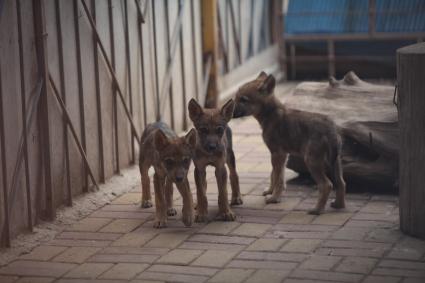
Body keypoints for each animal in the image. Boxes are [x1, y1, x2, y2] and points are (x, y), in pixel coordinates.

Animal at [234, 72, 346, 214]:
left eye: (243, 99)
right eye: (236, 97)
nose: (229, 111)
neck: (271, 115)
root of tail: (331, 131)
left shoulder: (277, 154)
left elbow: (276, 177)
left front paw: (273, 198)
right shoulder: (282, 155)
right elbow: (276, 176)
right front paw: (271, 192)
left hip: (312, 162)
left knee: (326, 185)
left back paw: (316, 210)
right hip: (336, 162)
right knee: (341, 183)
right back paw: (338, 205)